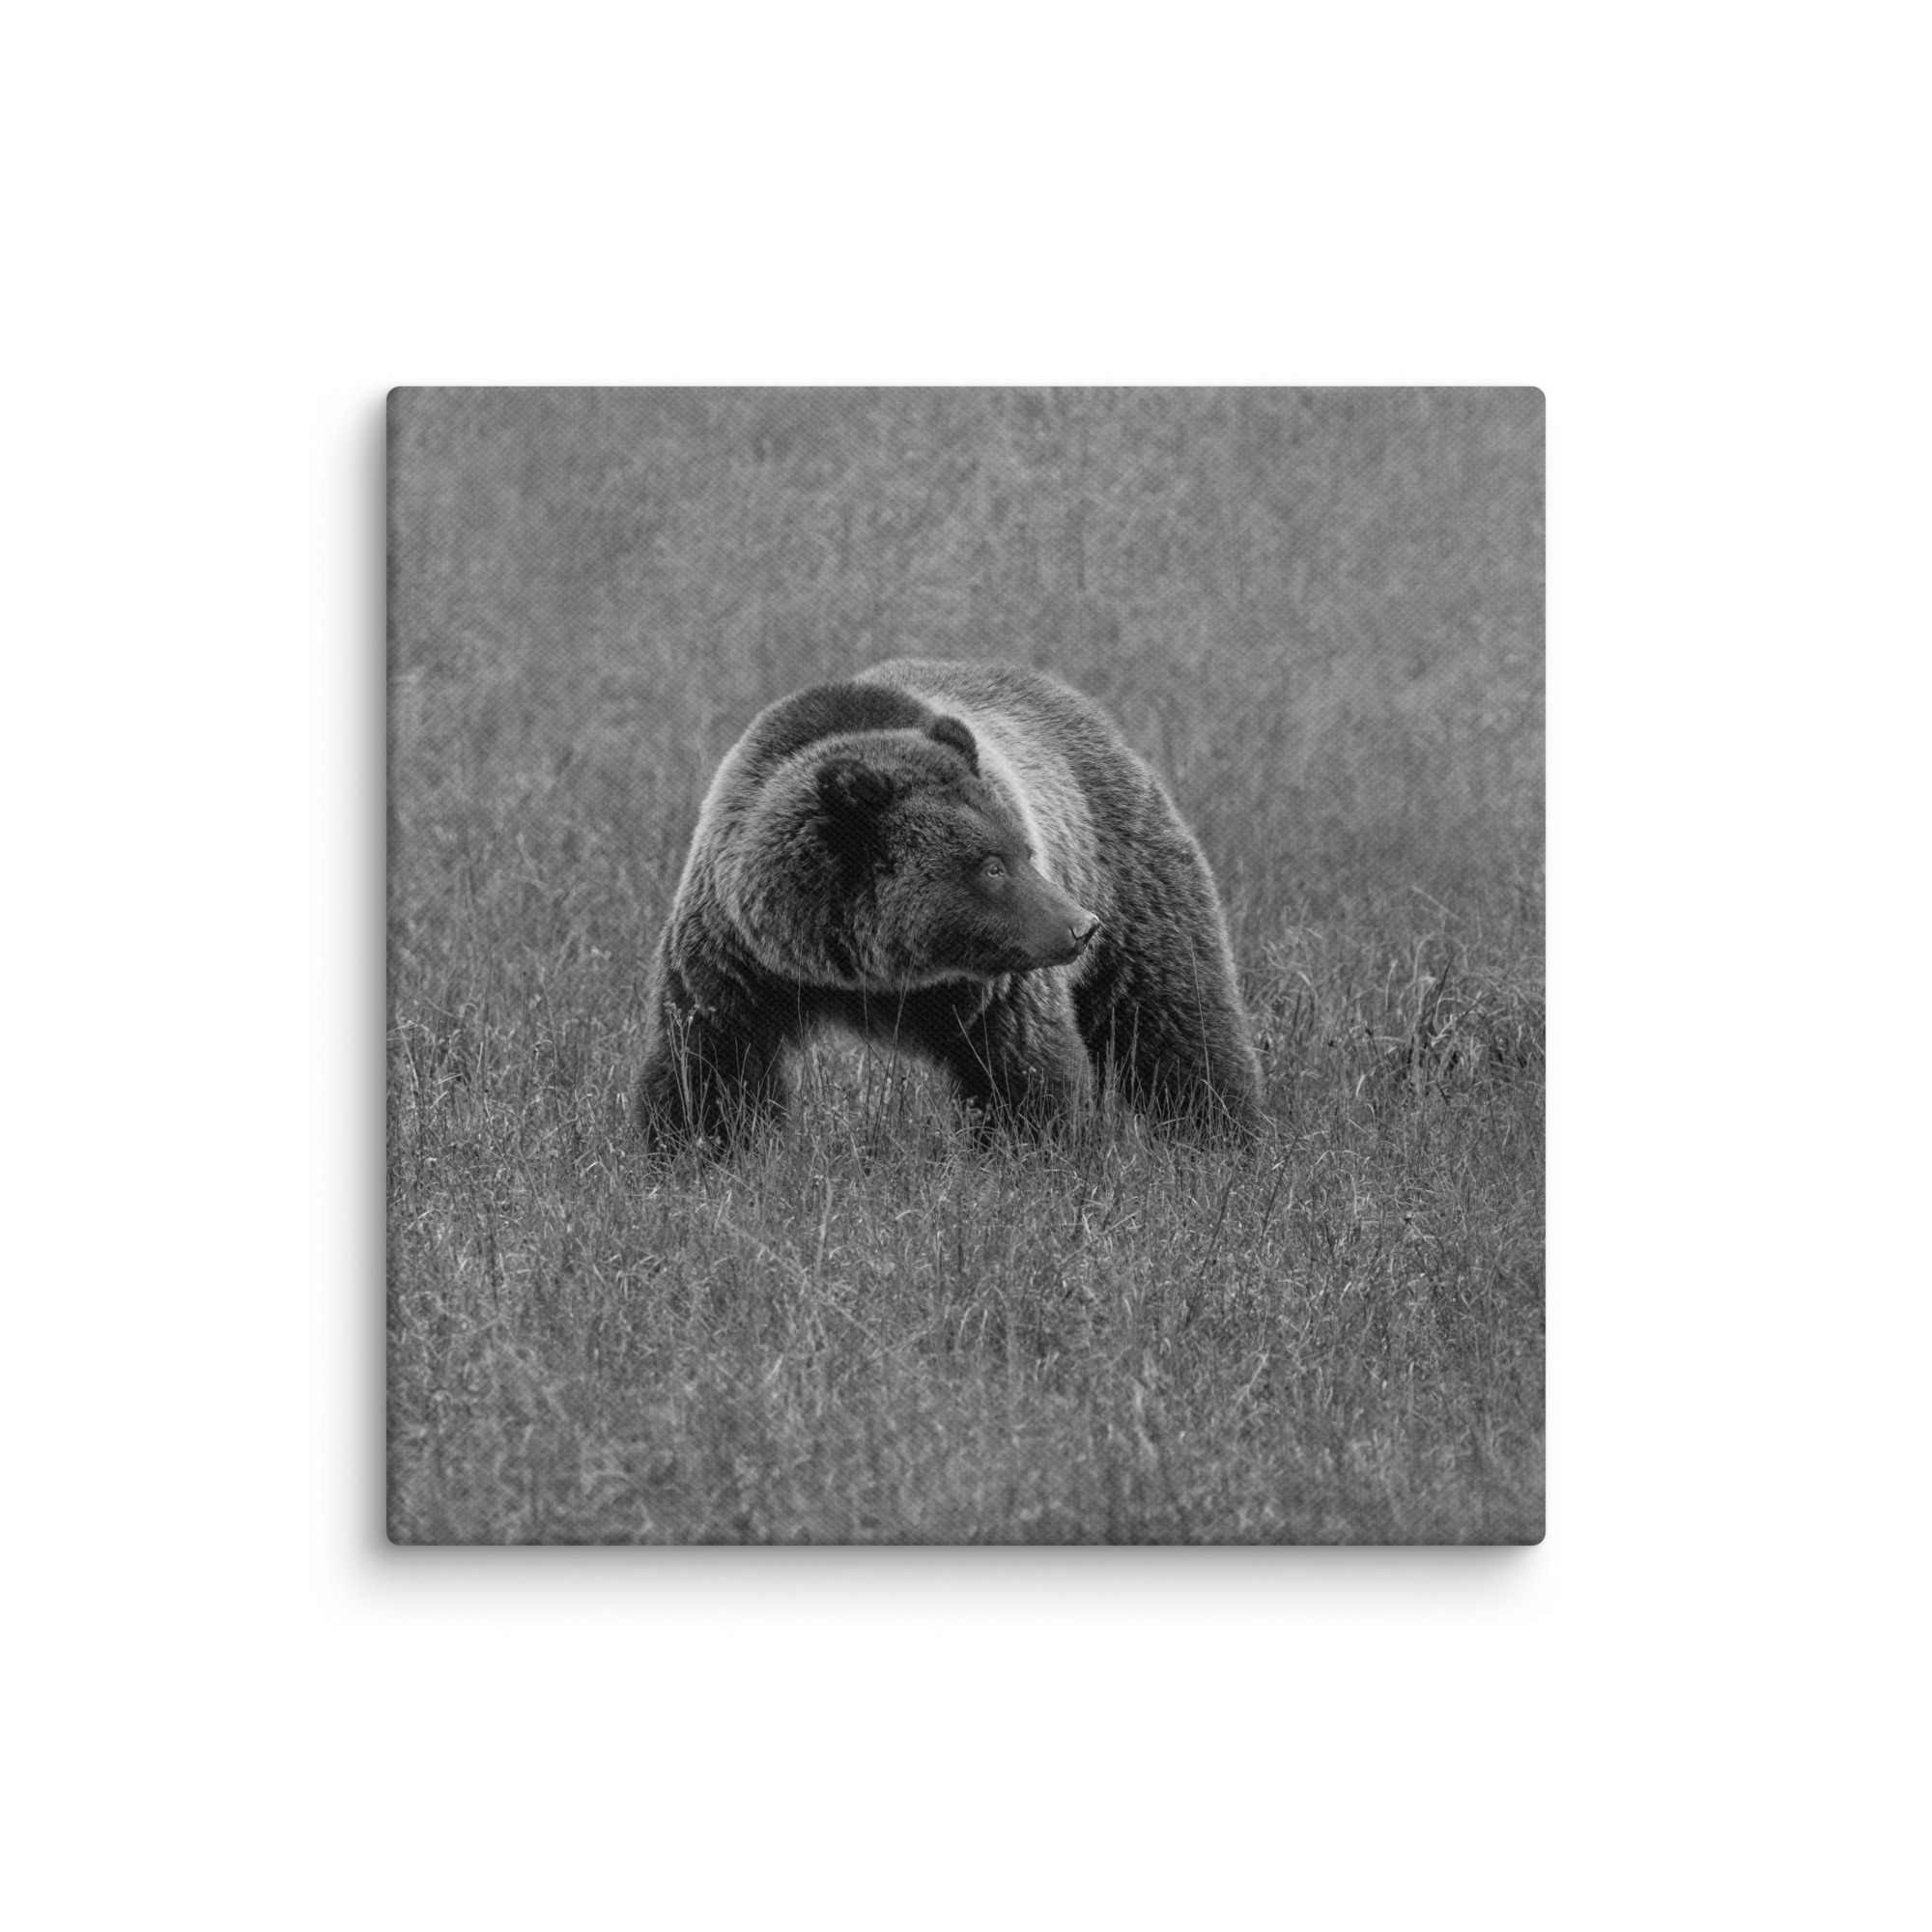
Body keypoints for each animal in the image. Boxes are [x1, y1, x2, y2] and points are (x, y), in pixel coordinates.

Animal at [634, 659, 1262, 1152]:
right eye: (991, 865)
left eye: (1024, 850)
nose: (1081, 927)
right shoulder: (738, 960)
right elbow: (710, 1067)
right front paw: (694, 1153)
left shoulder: (995, 987)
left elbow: (1024, 1071)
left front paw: (1037, 1155)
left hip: (1129, 875)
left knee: (1174, 1018)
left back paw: (1223, 1138)